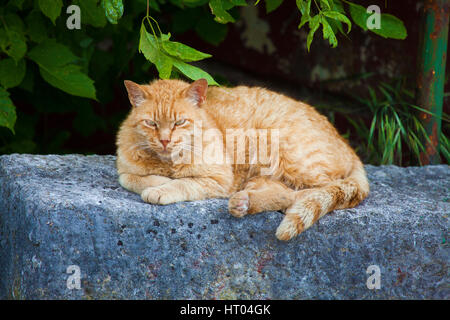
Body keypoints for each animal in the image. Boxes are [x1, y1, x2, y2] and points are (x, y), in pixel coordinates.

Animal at [116, 79, 370, 240]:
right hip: (261, 174)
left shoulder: (219, 179)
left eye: (179, 122)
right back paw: (244, 203)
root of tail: (346, 144)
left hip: (286, 153)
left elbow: (183, 183)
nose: (165, 140)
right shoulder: (124, 169)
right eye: (151, 123)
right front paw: (158, 181)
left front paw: (161, 188)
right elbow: (130, 178)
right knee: (282, 191)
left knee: (315, 191)